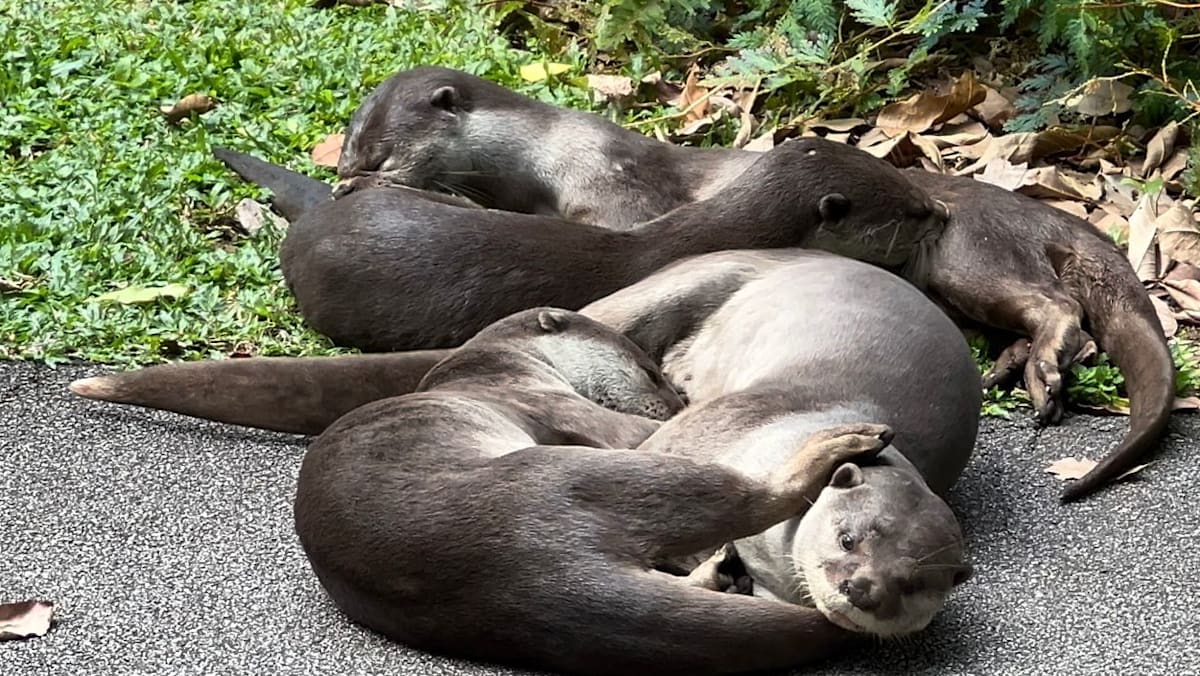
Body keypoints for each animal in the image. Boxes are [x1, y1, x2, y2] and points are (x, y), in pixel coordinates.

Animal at [292, 305, 901, 675]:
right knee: (752, 494)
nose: (676, 402)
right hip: (597, 476)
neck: (492, 363)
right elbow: (630, 432)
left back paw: (719, 574)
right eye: (652, 372)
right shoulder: (553, 401)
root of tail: (514, 573)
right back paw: (846, 442)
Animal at [324, 65, 1173, 502]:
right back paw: (1012, 364)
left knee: (1056, 303)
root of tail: (1044, 212)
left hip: (972, 257)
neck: (551, 152)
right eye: (352, 147)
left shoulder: (615, 189)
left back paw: (1044, 368)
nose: (343, 179)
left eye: (379, 153)